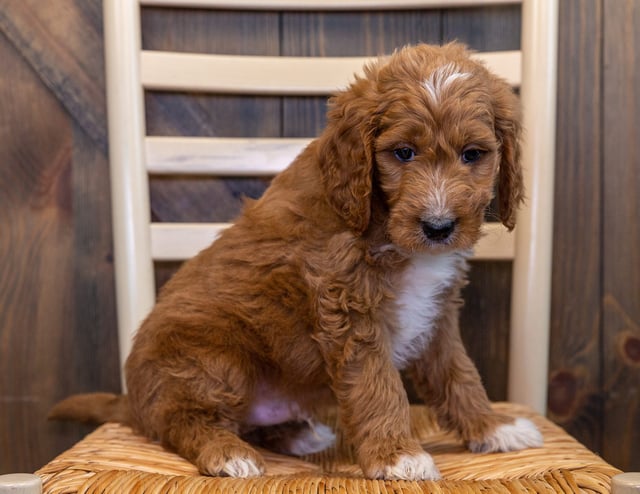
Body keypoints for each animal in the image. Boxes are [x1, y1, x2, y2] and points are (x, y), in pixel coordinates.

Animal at [51, 44, 540, 480]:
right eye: (403, 152)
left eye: (473, 154)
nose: (438, 227)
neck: (376, 215)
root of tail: (133, 402)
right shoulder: (348, 306)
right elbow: (377, 384)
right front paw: (396, 456)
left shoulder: (436, 311)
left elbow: (459, 373)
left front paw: (493, 427)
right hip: (213, 358)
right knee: (183, 418)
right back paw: (226, 453)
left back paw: (295, 434)